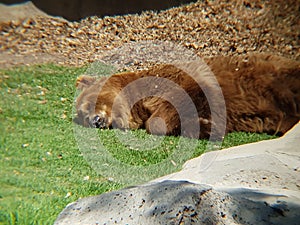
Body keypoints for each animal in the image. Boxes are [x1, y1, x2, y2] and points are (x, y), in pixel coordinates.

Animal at [73, 53, 300, 140]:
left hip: (279, 77)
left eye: (88, 104)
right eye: (82, 115)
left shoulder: (181, 79)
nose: (95, 120)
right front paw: (204, 125)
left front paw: (207, 125)